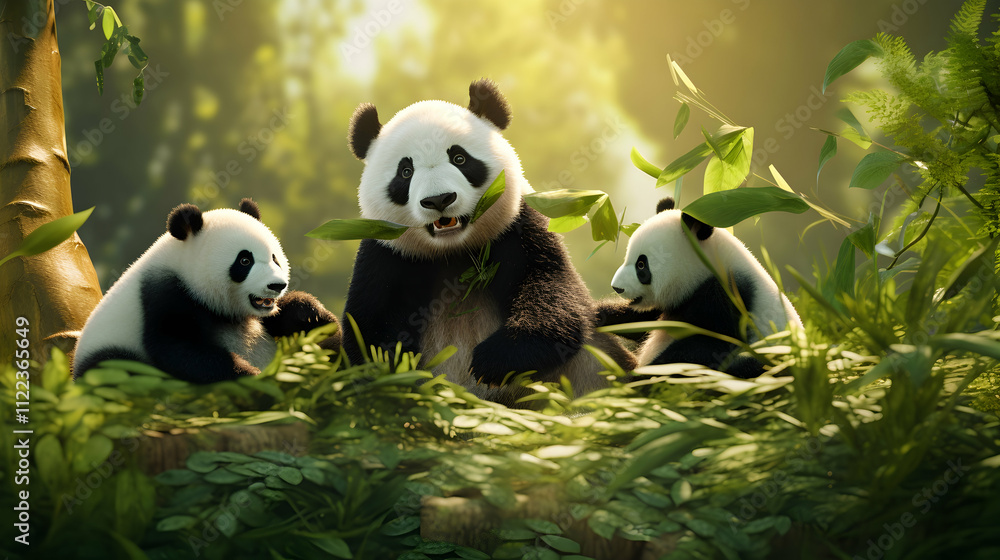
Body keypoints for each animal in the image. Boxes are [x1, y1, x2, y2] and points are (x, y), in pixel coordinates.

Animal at [72, 199, 341, 383]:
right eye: (245, 261)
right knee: (118, 369)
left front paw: (311, 315)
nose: (277, 285)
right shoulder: (165, 295)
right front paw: (253, 377)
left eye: (275, 258)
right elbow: (179, 348)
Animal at [342, 78, 636, 405]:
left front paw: (493, 361)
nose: (439, 200)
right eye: (405, 172)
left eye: (459, 158)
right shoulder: (385, 254)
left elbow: (554, 294)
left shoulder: (519, 230)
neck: (453, 252)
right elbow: (369, 328)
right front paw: (396, 373)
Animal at [602, 197, 801, 378]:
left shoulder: (727, 297)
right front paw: (601, 315)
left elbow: (709, 346)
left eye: (641, 265)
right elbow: (644, 321)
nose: (617, 288)